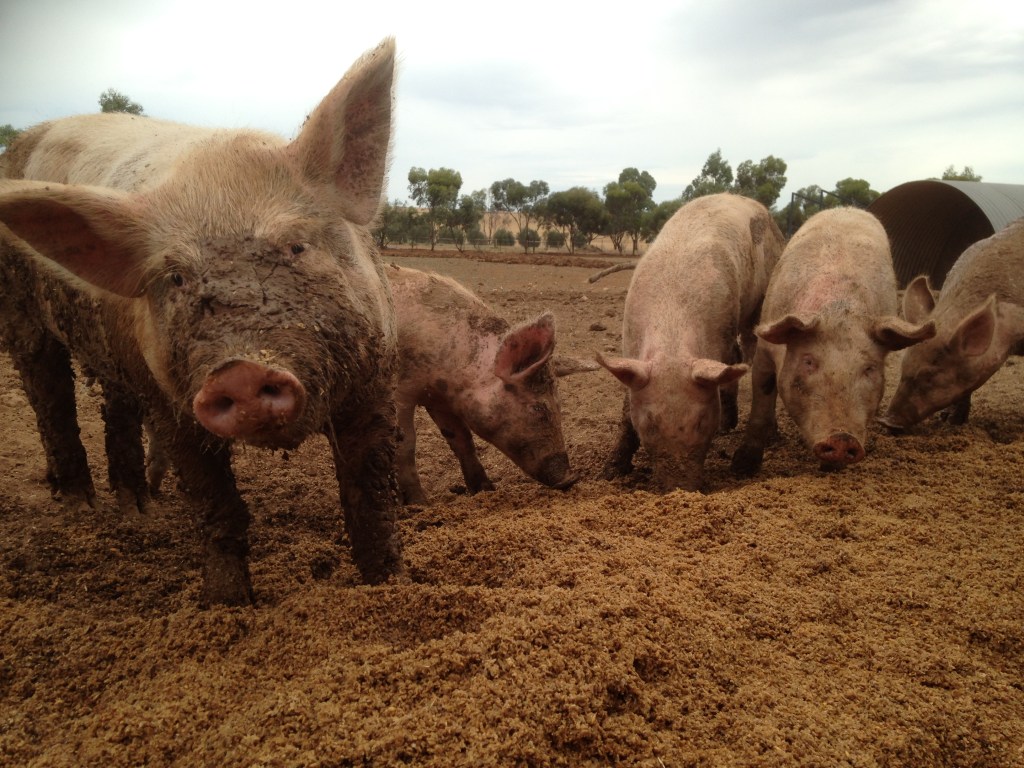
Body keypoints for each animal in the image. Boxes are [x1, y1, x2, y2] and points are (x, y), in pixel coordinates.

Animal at [0, 39, 403, 606]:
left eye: (296, 246)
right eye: (176, 277)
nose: (241, 371)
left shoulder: (375, 380)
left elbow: (371, 499)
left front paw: (390, 585)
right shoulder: (172, 406)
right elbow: (215, 504)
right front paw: (228, 607)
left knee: (113, 408)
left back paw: (137, 513)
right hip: (22, 316)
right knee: (50, 397)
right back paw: (82, 509)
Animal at [386, 264, 592, 504]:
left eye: (560, 406)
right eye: (538, 408)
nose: (571, 478)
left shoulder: (440, 399)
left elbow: (462, 440)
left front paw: (486, 490)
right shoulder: (401, 392)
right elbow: (406, 444)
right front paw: (421, 504)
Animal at [596, 193, 786, 492]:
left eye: (701, 421)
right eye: (649, 423)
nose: (679, 488)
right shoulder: (632, 347)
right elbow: (626, 413)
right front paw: (610, 472)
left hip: (760, 299)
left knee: (747, 353)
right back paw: (728, 427)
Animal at [731, 207, 936, 477]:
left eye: (870, 369)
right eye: (808, 361)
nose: (842, 439)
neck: (839, 312)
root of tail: (850, 208)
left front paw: (830, 470)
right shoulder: (764, 350)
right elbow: (761, 405)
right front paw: (741, 468)